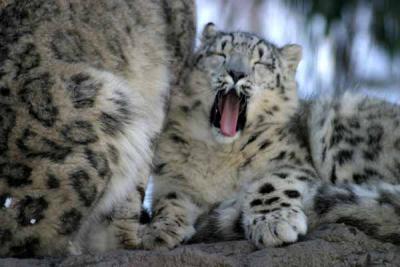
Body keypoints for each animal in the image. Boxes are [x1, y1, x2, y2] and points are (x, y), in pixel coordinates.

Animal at [143, 23, 400, 251]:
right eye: (220, 53)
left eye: (261, 63)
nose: (237, 73)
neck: (220, 154)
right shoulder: (171, 176)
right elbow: (170, 199)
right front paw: (161, 230)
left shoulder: (291, 163)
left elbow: (272, 184)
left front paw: (275, 225)